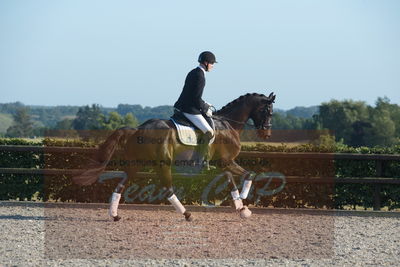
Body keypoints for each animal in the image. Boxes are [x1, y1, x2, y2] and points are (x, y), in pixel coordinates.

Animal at [73, 92, 276, 222]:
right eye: (268, 111)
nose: (266, 134)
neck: (227, 124)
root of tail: (137, 129)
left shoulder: (221, 165)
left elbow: (232, 181)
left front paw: (241, 206)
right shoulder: (226, 162)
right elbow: (248, 175)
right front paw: (243, 203)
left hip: (135, 164)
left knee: (120, 186)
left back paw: (114, 215)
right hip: (163, 164)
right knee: (168, 190)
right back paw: (187, 215)